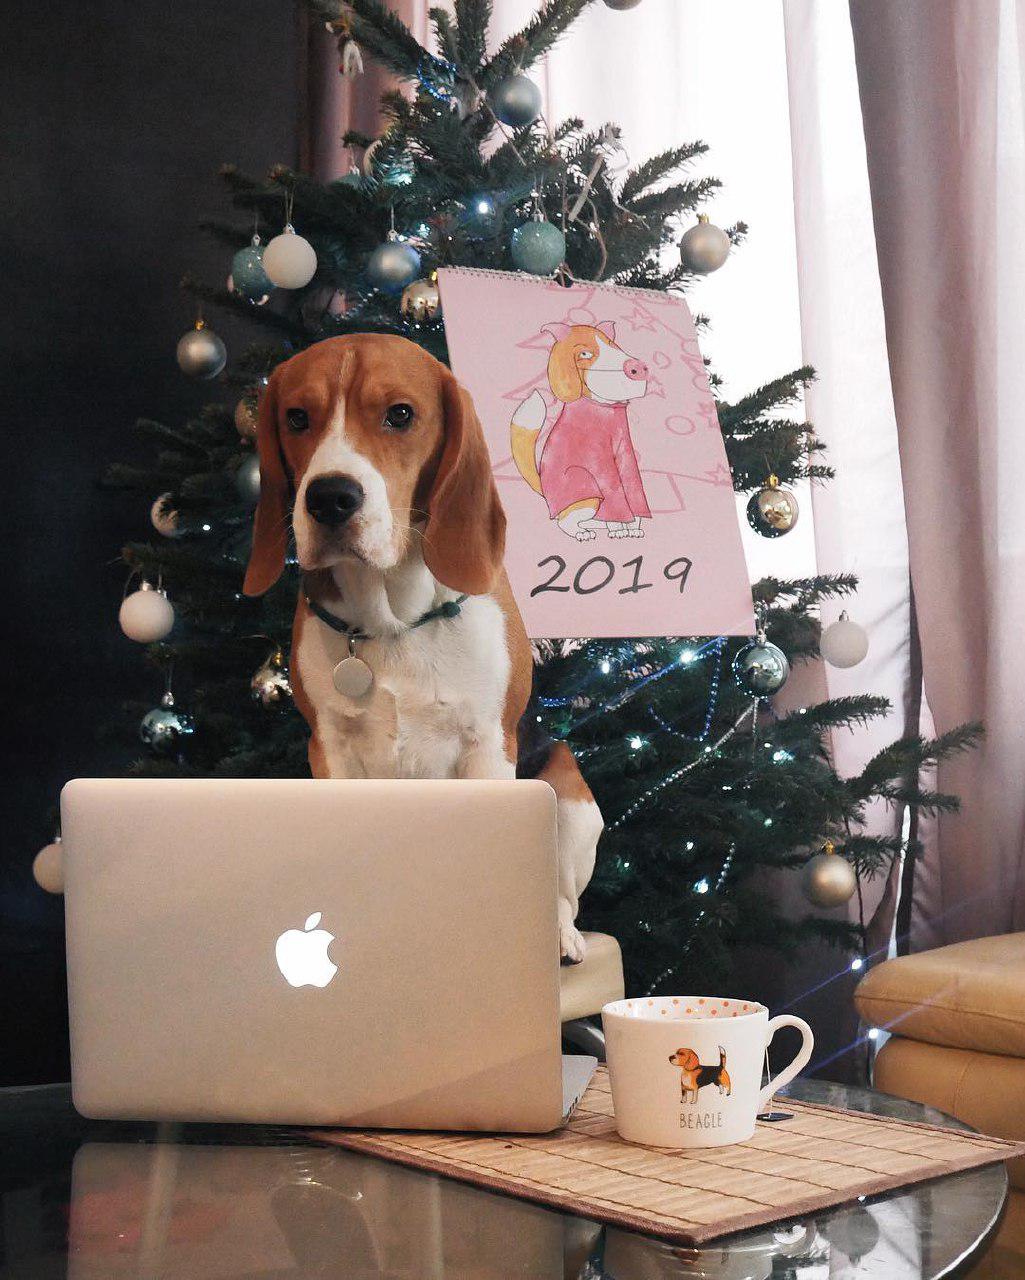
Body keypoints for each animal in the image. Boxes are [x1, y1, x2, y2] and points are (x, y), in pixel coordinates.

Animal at [244, 332, 603, 962]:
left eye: (400, 415)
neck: (393, 622)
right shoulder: (330, 750)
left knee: (563, 897)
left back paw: (561, 937)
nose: (329, 498)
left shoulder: (488, 748)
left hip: (571, 798)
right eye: (296, 417)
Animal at [509, 322, 652, 542]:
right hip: (586, 487)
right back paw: (582, 532)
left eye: (613, 345)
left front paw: (632, 527)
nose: (637, 368)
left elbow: (634, 491)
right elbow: (615, 497)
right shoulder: (600, 464)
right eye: (584, 353)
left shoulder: (626, 456)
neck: (605, 409)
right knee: (564, 521)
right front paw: (618, 528)